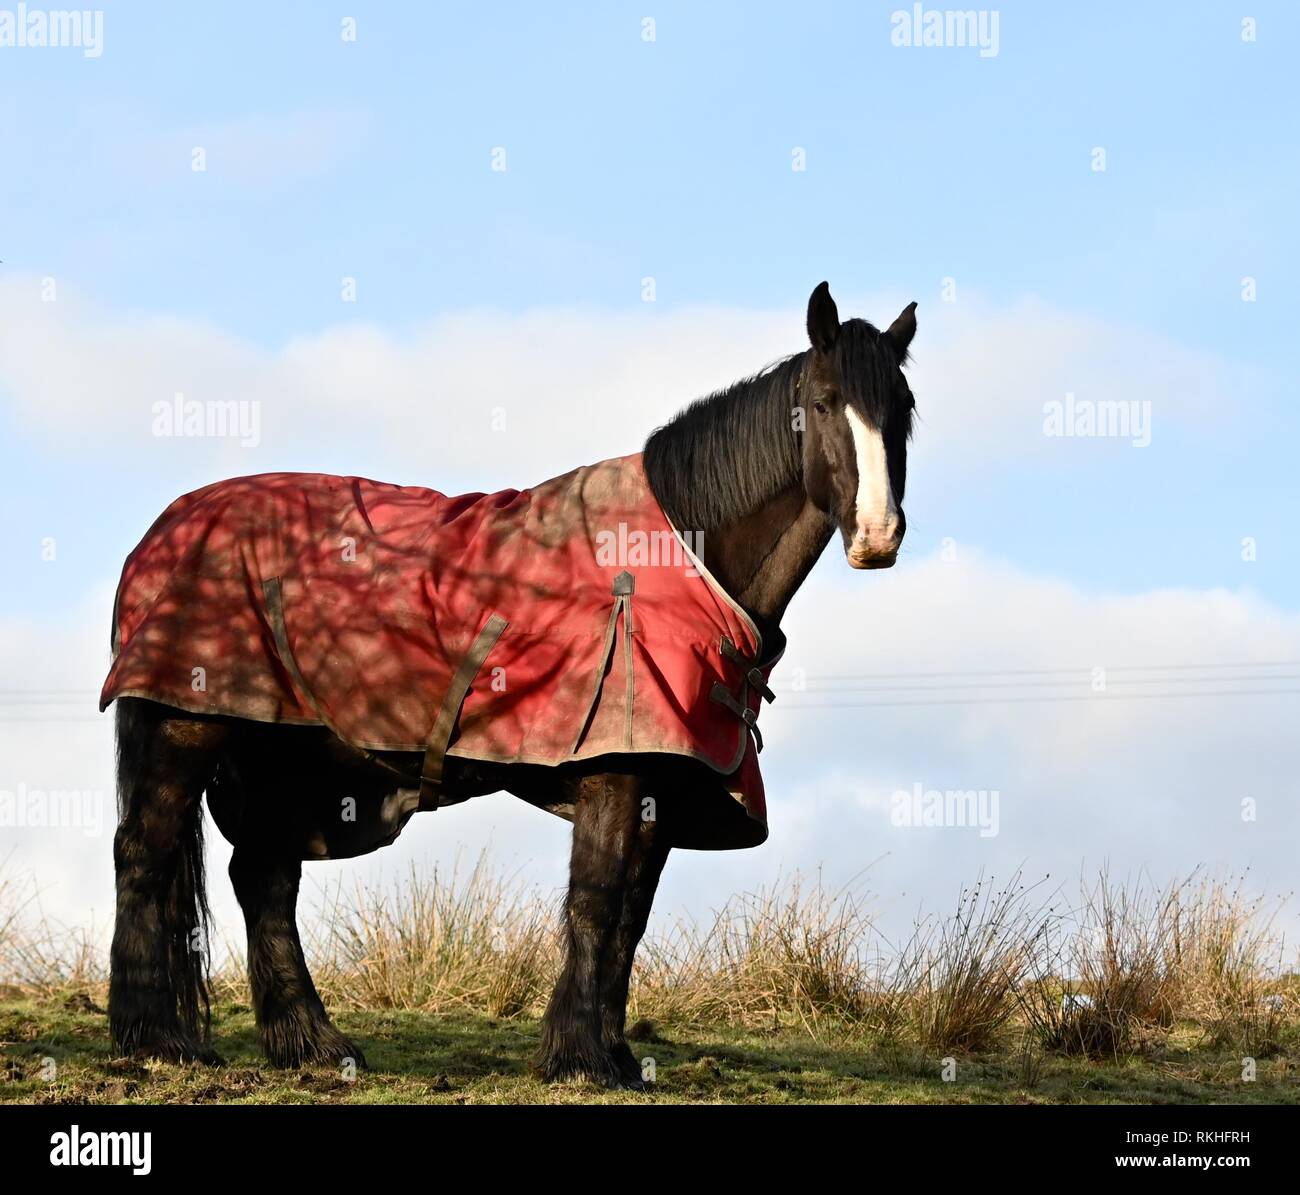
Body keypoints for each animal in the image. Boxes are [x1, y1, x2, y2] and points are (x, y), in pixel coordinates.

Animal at [106, 282, 920, 1092]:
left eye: (905, 406)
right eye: (824, 402)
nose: (877, 535)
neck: (677, 563)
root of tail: (160, 535)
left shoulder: (663, 782)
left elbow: (631, 916)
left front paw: (615, 1055)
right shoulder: (617, 768)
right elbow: (596, 900)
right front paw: (579, 1057)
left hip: (284, 753)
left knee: (263, 878)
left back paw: (311, 1042)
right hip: (189, 726)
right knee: (145, 853)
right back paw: (158, 1038)